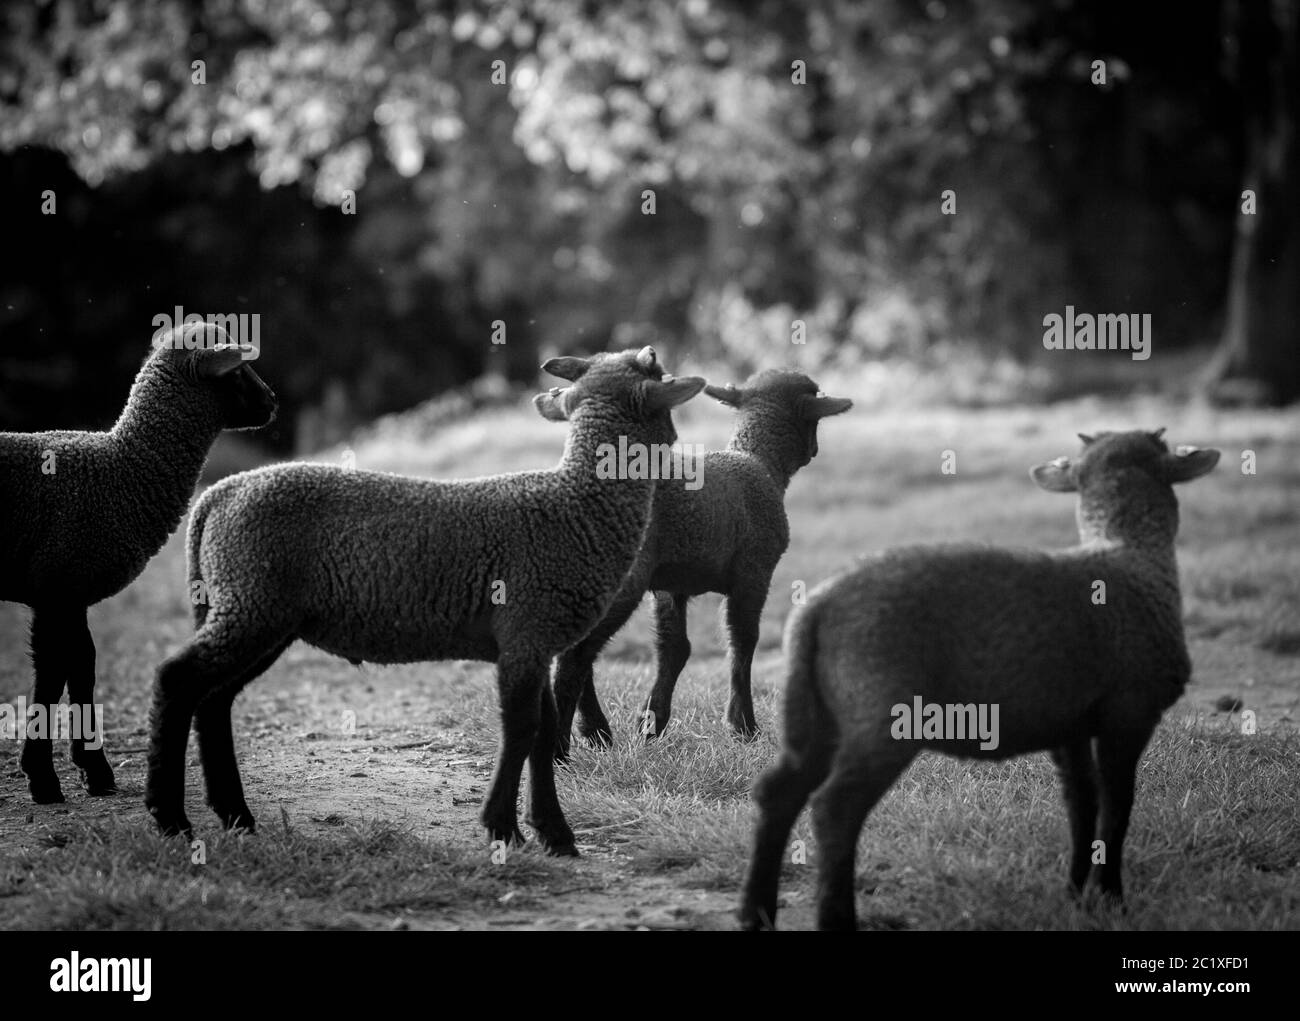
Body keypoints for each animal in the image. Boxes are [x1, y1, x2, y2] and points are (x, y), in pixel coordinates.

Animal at [0, 322, 274, 801]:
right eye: (237, 371)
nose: (273, 400)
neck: (124, 470)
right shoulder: (56, 587)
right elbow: (54, 674)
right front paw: (45, 779)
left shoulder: (72, 594)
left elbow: (82, 667)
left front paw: (92, 770)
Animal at [143, 345, 707, 848]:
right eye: (655, 373)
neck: (578, 505)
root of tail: (218, 496)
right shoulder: (524, 635)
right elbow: (521, 730)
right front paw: (504, 829)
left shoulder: (536, 641)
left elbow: (544, 733)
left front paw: (553, 833)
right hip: (251, 602)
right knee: (178, 679)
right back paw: (172, 820)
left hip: (254, 611)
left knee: (214, 699)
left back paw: (236, 816)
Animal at [551, 369, 847, 754]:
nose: (814, 451)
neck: (760, 462)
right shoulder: (754, 572)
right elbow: (743, 643)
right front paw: (743, 726)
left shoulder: (671, 585)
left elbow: (675, 649)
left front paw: (651, 723)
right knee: (574, 656)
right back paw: (565, 745)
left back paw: (595, 732)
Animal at [743, 426, 1216, 926]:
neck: (1135, 557)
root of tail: (817, 608)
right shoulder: (1129, 712)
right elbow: (1117, 806)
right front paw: (1111, 899)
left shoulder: (1069, 723)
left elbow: (1082, 803)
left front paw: (1074, 894)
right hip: (881, 713)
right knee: (835, 808)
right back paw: (835, 917)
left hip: (818, 712)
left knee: (779, 793)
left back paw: (756, 912)